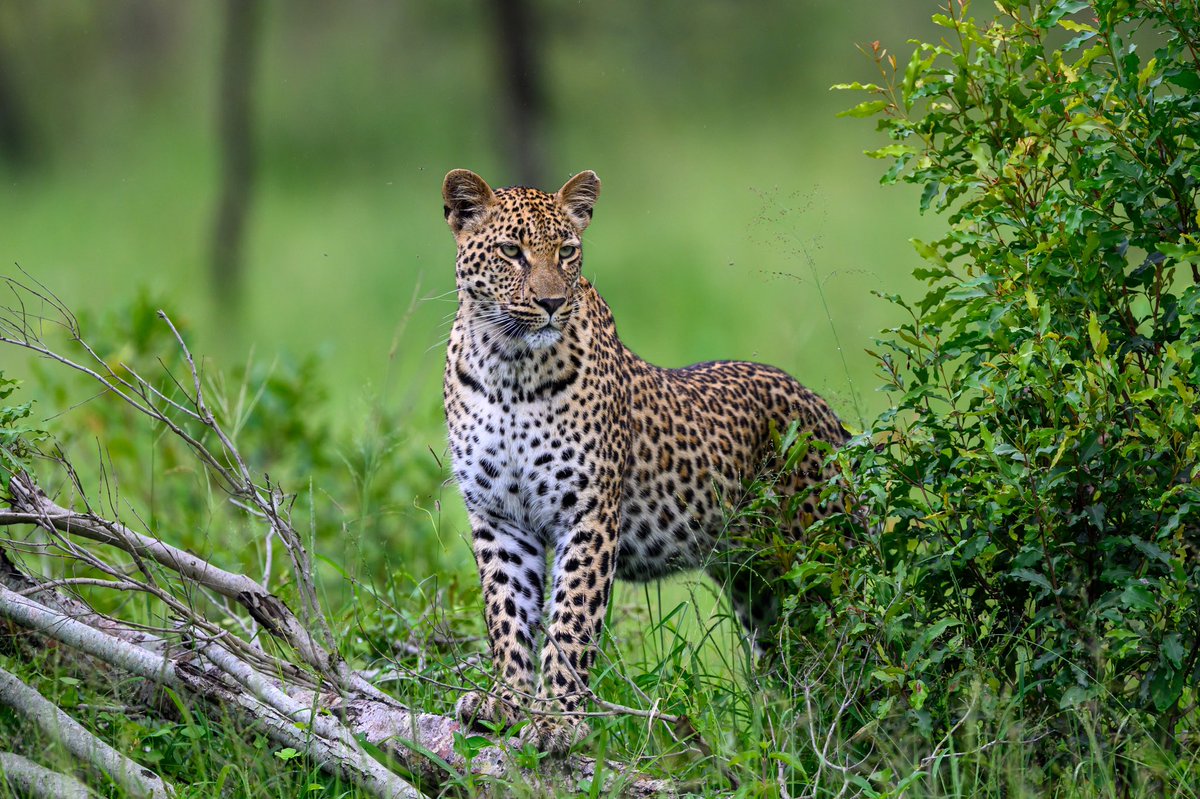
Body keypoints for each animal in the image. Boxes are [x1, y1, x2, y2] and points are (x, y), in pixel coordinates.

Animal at [441, 168, 848, 753]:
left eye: (567, 251)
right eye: (511, 251)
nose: (551, 302)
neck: (509, 367)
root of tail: (825, 414)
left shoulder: (586, 514)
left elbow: (571, 622)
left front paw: (558, 720)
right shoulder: (499, 518)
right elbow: (508, 614)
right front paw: (505, 701)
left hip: (819, 559)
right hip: (755, 582)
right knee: (785, 656)